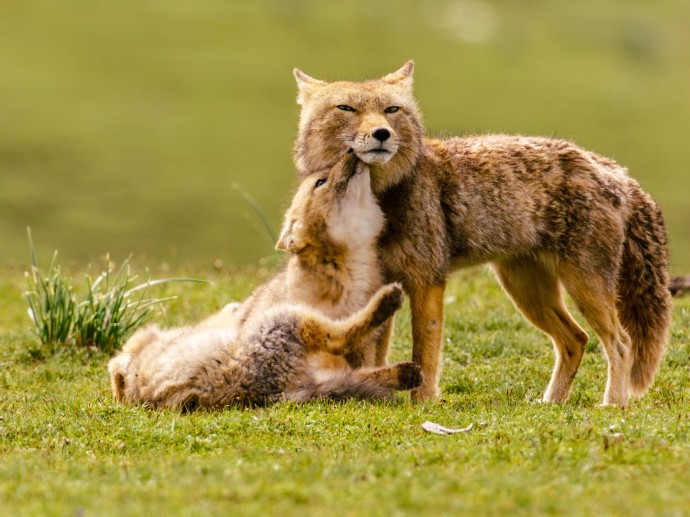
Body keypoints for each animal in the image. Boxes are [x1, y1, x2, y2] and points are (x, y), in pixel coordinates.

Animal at [107, 155, 420, 410]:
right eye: (320, 181)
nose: (351, 152)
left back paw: (406, 372)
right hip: (283, 321)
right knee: (341, 337)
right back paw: (389, 308)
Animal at [290, 61, 668, 408]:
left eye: (391, 110)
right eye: (346, 109)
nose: (382, 133)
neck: (378, 202)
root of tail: (614, 170)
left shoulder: (427, 281)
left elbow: (424, 355)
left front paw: (422, 404)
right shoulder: (381, 286)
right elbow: (373, 349)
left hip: (582, 288)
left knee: (621, 343)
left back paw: (613, 405)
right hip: (528, 293)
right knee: (576, 339)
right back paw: (552, 403)